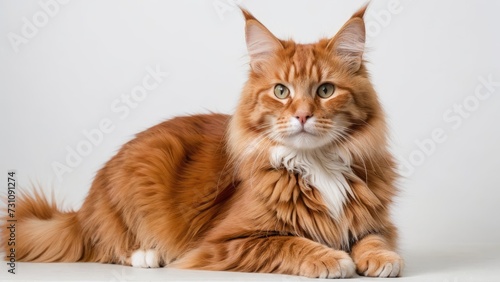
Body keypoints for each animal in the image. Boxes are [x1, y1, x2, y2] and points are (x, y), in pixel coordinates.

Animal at [1, 3, 404, 278]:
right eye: (281, 91)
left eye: (325, 90)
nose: (302, 115)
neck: (316, 164)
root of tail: (82, 210)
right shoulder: (225, 243)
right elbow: (287, 242)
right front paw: (333, 257)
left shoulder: (376, 222)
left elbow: (375, 239)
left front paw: (381, 259)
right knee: (108, 245)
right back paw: (147, 255)